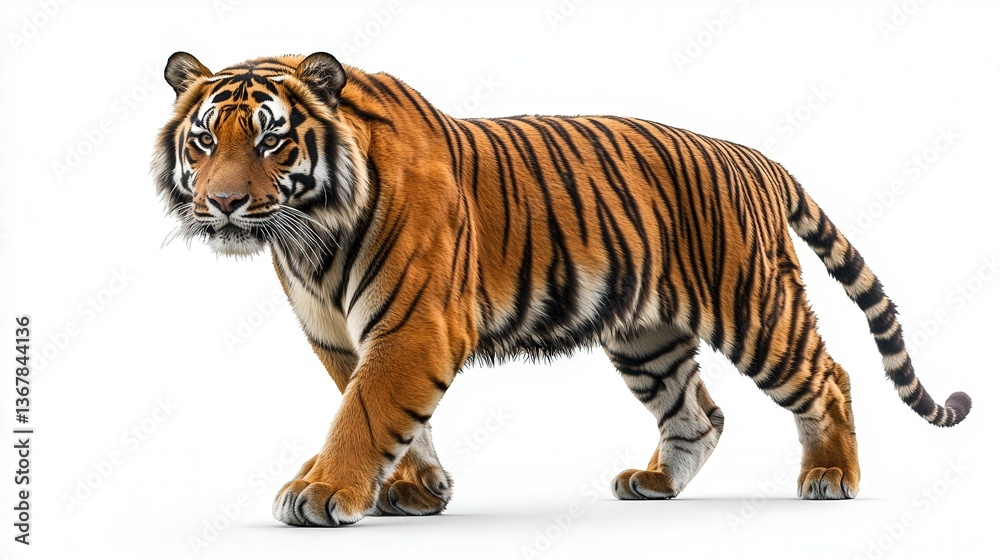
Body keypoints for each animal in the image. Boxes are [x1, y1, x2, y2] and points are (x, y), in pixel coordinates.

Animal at [153, 51, 972, 527]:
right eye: (205, 139)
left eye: (270, 139)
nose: (223, 203)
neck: (308, 235)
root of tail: (756, 158)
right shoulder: (340, 337)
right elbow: (391, 417)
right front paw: (419, 489)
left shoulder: (415, 328)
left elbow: (365, 414)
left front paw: (325, 492)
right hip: (647, 337)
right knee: (699, 414)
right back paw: (655, 484)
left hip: (755, 309)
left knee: (828, 377)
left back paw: (831, 476)